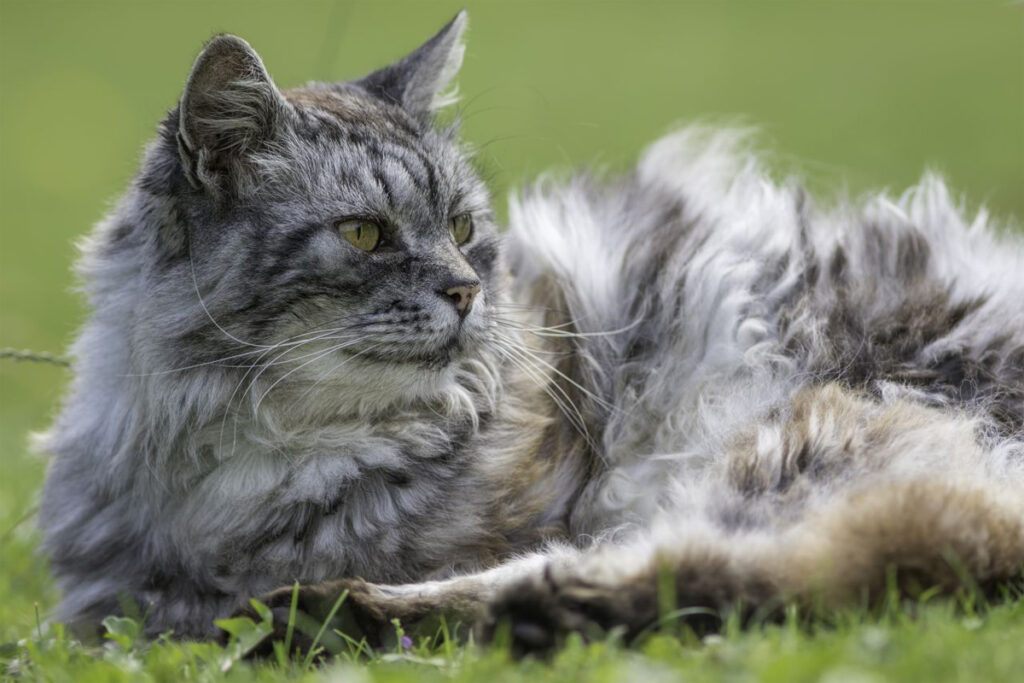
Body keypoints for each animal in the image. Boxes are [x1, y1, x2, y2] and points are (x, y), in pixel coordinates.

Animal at [37, 9, 1024, 651]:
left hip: (802, 437)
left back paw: (359, 614)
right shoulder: (110, 592)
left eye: (463, 226)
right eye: (365, 234)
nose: (467, 290)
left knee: (745, 568)